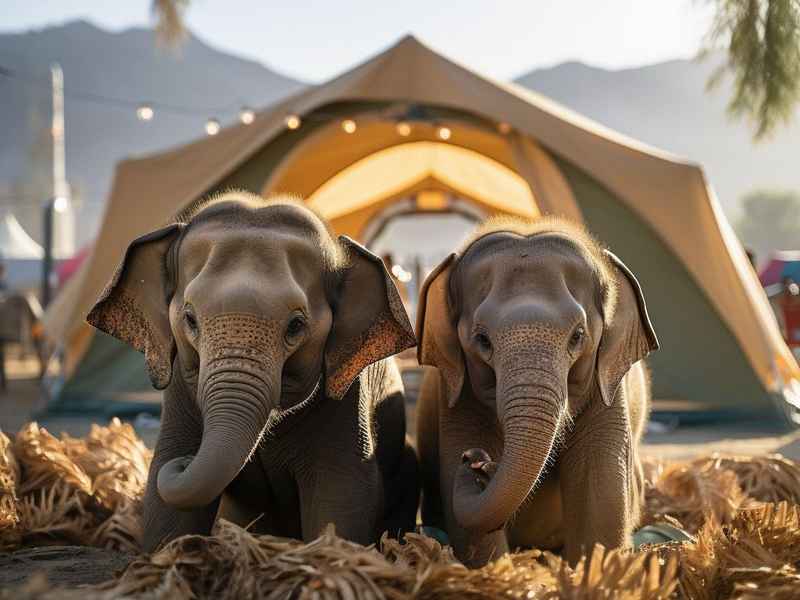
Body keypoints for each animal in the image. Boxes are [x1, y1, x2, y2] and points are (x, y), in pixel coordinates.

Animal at [87, 191, 419, 552]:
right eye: (189, 319)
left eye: (296, 325)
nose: (187, 461)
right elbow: (166, 500)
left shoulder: (347, 394)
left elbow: (342, 490)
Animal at [415, 216, 658, 566]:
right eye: (482, 340)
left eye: (577, 336)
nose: (477, 462)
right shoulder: (459, 392)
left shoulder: (607, 388)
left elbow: (600, 487)